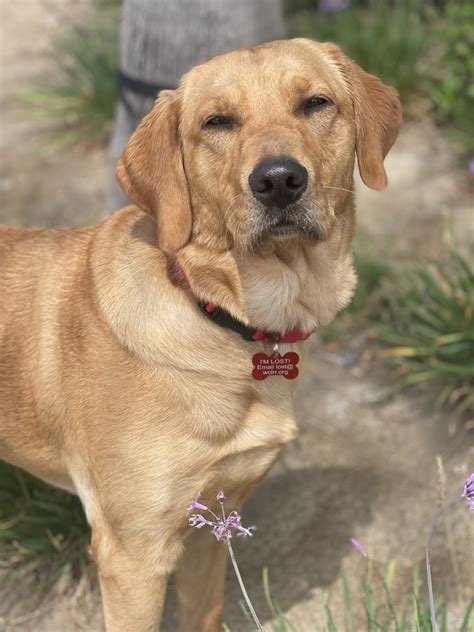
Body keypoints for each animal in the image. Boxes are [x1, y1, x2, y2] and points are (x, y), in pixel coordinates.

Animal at [0, 40, 400, 632]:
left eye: (315, 103)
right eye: (217, 122)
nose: (279, 180)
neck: (219, 313)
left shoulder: (212, 526)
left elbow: (203, 611)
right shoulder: (134, 557)